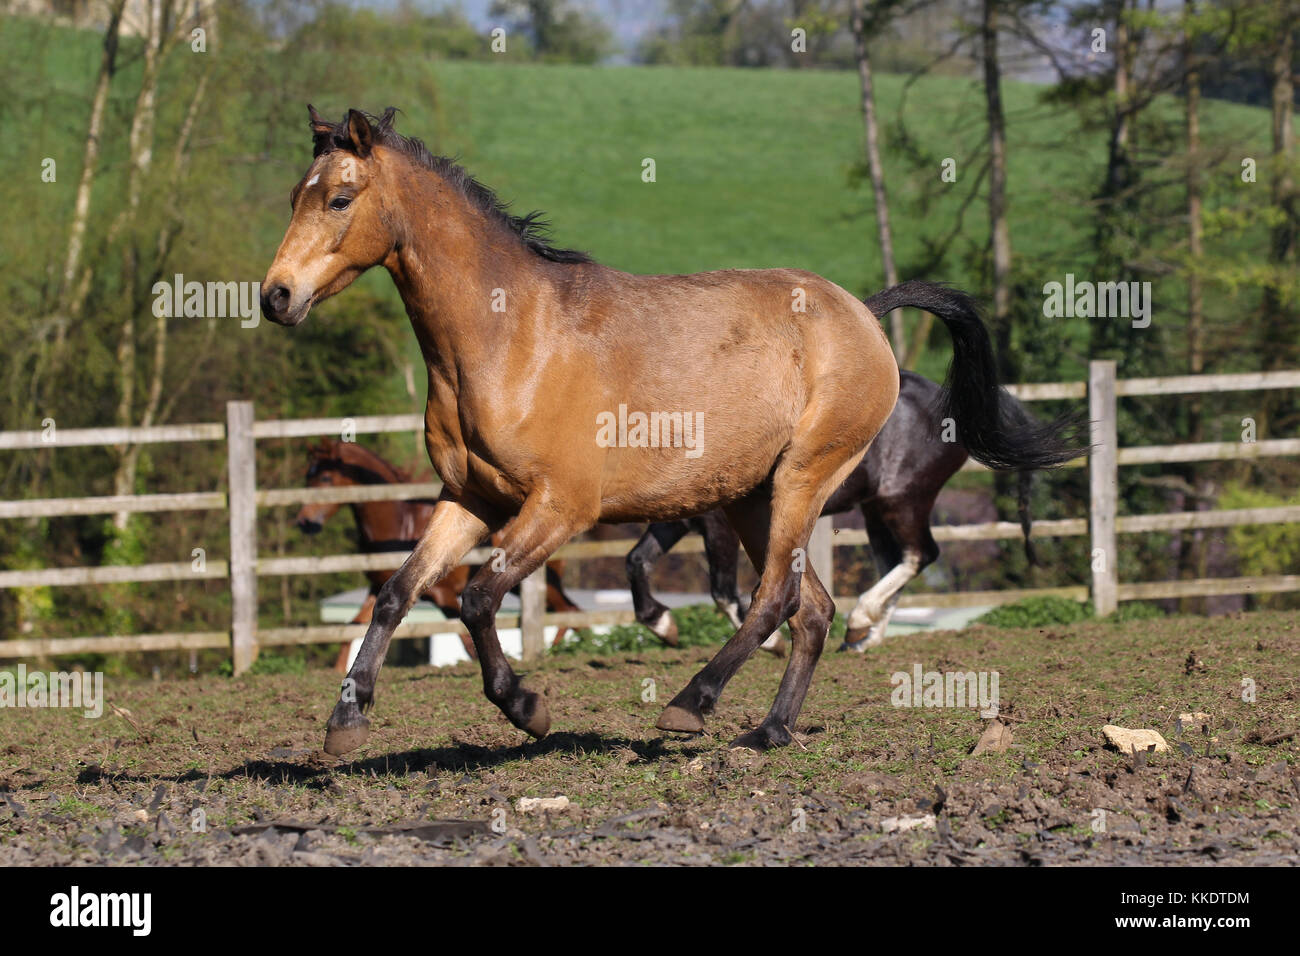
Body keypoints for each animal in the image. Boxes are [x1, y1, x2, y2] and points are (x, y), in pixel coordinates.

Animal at [295, 439, 581, 671]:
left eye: (325, 478)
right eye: (307, 477)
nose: (304, 522)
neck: (402, 524)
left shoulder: (442, 594)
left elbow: (466, 642)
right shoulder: (377, 589)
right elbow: (352, 626)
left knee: (569, 610)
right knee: (571, 612)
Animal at [626, 369, 1043, 653]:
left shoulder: (719, 525)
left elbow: (723, 591)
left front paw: (772, 643)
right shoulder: (678, 522)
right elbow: (637, 561)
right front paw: (663, 624)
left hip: (903, 499)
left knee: (920, 554)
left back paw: (860, 619)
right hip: (876, 512)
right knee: (895, 561)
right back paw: (864, 637)